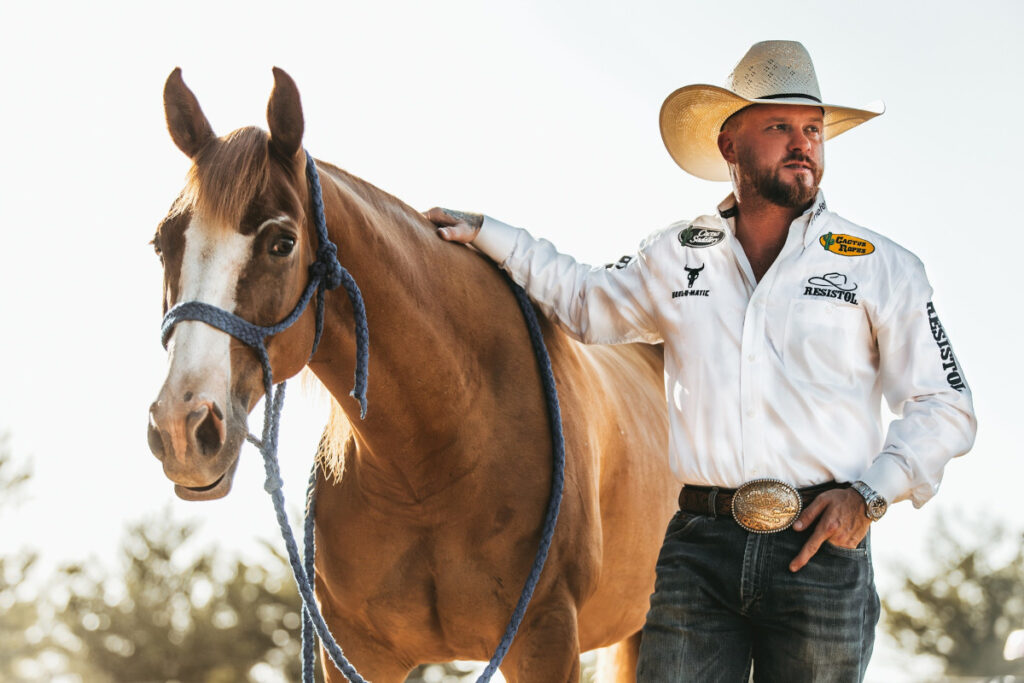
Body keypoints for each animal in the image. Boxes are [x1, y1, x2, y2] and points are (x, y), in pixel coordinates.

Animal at [146, 65, 679, 683]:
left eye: (282, 243)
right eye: (162, 243)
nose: (183, 427)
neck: (432, 462)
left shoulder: (547, 638)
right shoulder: (355, 650)